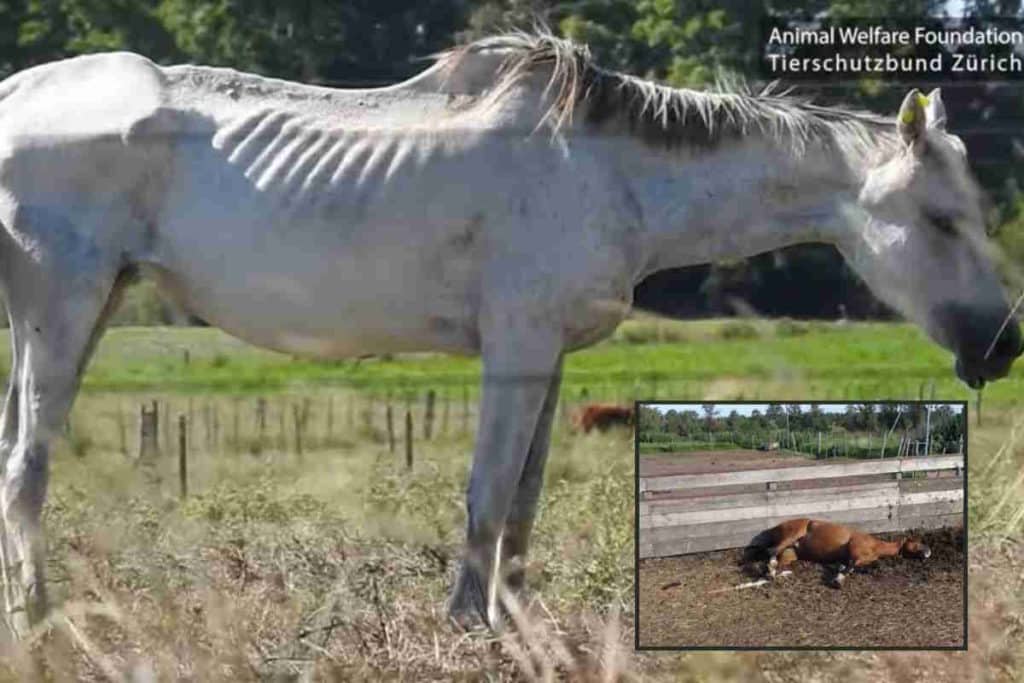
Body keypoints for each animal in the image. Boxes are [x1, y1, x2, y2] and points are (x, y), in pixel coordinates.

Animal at [759, 518, 931, 588]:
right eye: (916, 542)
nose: (928, 552)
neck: (874, 545)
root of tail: (776, 527)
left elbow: (852, 567)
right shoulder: (855, 554)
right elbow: (849, 567)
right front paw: (838, 580)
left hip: (791, 552)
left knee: (777, 559)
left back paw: (773, 574)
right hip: (790, 537)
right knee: (771, 551)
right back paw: (770, 572)